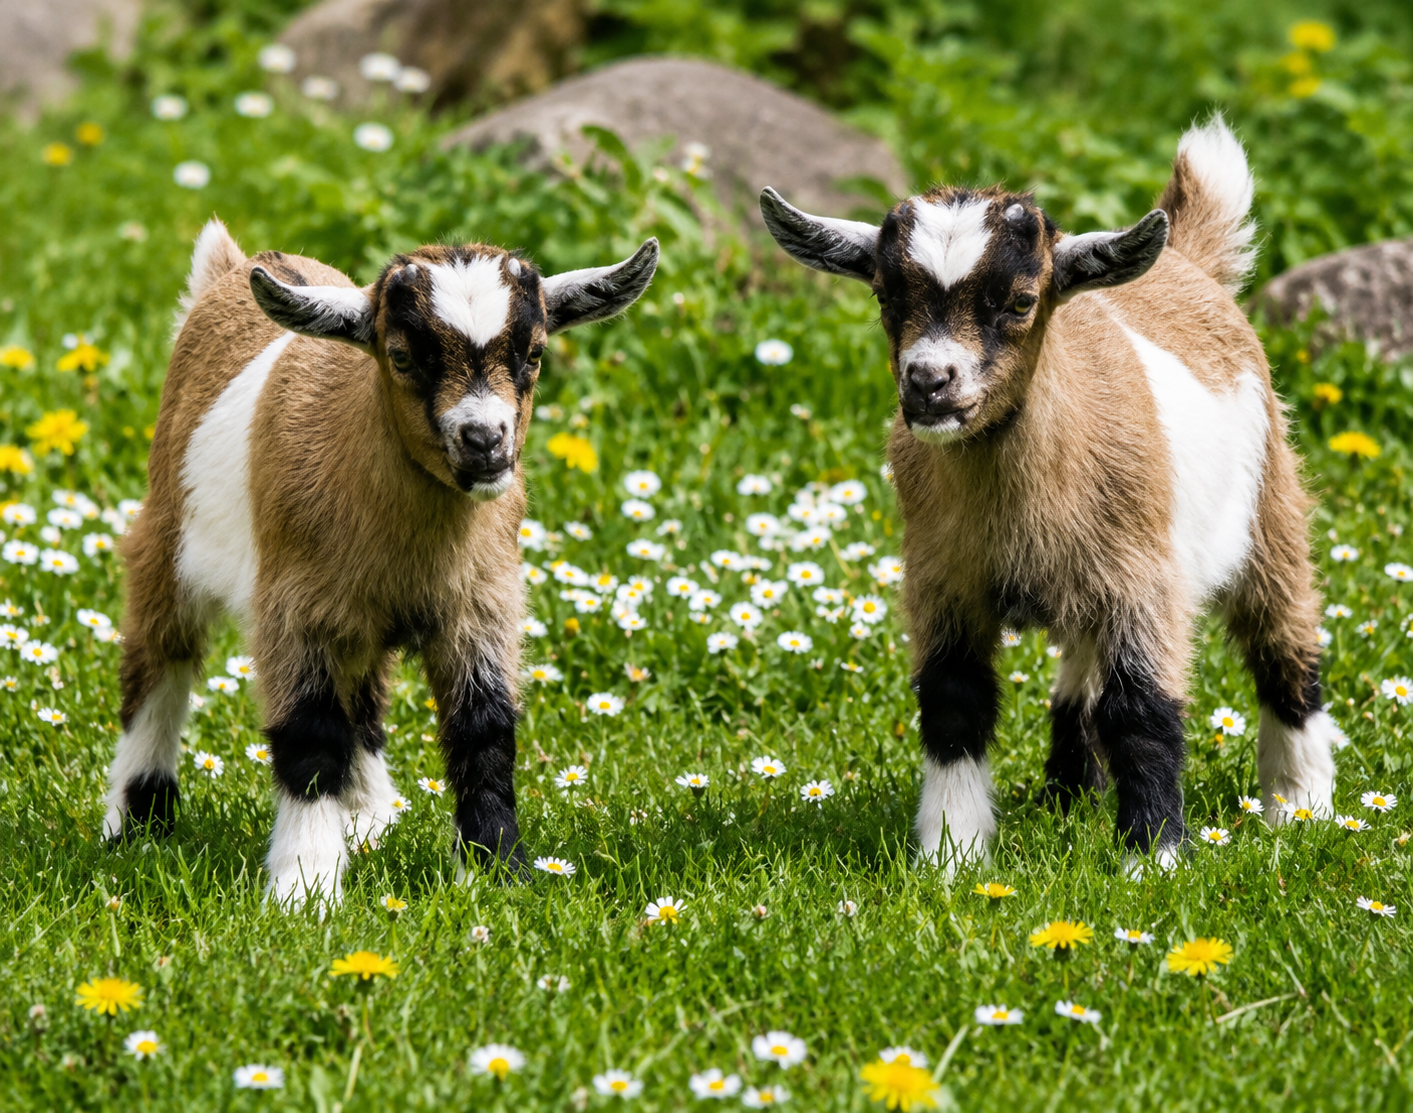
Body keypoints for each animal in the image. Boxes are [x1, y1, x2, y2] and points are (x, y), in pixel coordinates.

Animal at [104, 218, 658, 903]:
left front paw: (498, 874)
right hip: (166, 542)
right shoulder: (294, 610)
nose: (485, 442)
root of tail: (231, 269)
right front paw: (305, 889)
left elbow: (484, 733)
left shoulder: (481, 606)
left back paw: (369, 819)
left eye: (533, 354)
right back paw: (134, 821)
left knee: (362, 700)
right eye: (402, 356)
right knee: (159, 665)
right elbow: (310, 737)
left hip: (358, 623)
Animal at [760, 118, 1336, 870]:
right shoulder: (943, 578)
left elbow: (1142, 711)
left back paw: (1299, 809)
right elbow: (955, 702)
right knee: (1080, 678)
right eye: (886, 297)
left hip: (1270, 505)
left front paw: (1151, 857)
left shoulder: (1144, 580)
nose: (929, 382)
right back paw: (1069, 792)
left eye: (1019, 301)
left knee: (1283, 644)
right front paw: (952, 855)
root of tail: (1184, 264)